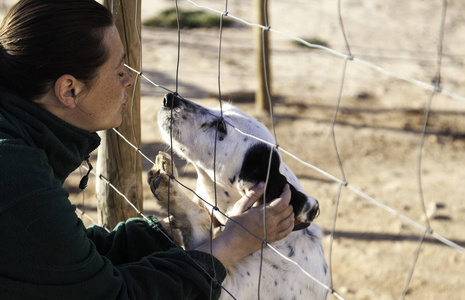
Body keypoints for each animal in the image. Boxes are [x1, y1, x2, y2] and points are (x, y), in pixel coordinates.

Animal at [147, 93, 328, 298]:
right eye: (220, 108)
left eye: (221, 126)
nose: (169, 98)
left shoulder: (224, 289)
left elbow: (201, 218)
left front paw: (171, 190)